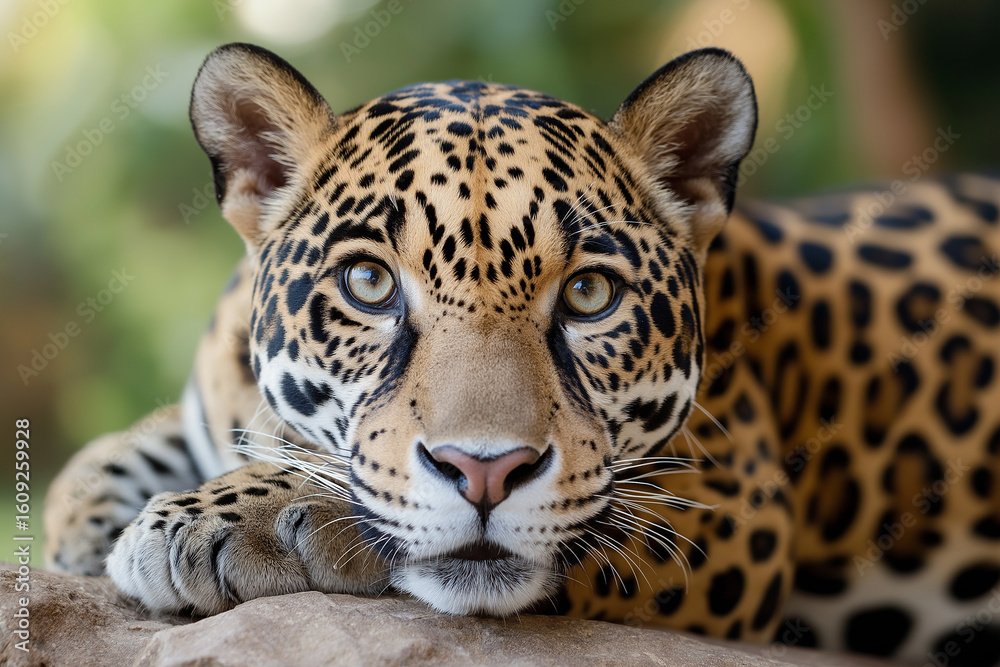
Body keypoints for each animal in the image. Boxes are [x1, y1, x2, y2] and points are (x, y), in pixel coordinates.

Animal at [43, 42, 1000, 664]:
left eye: (589, 295)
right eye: (368, 283)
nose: (485, 471)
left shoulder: (738, 501)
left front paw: (231, 517)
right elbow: (97, 460)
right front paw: (99, 534)